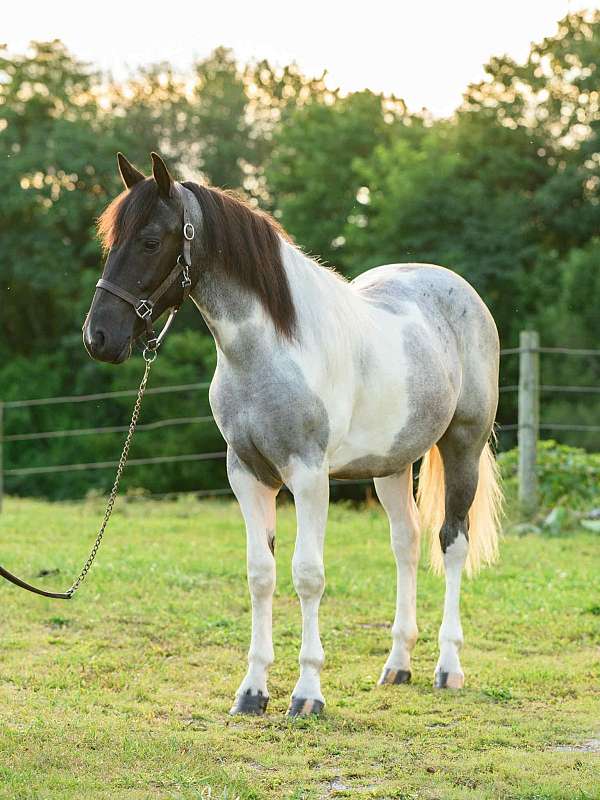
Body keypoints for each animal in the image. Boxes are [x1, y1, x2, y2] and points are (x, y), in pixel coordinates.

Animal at [83, 152, 502, 717]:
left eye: (150, 240)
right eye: (112, 239)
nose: (99, 337)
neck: (270, 350)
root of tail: (459, 291)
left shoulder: (307, 475)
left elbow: (308, 575)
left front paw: (307, 694)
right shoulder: (247, 474)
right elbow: (261, 574)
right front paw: (252, 691)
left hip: (463, 445)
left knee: (452, 542)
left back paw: (448, 667)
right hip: (391, 464)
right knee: (407, 544)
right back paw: (397, 666)